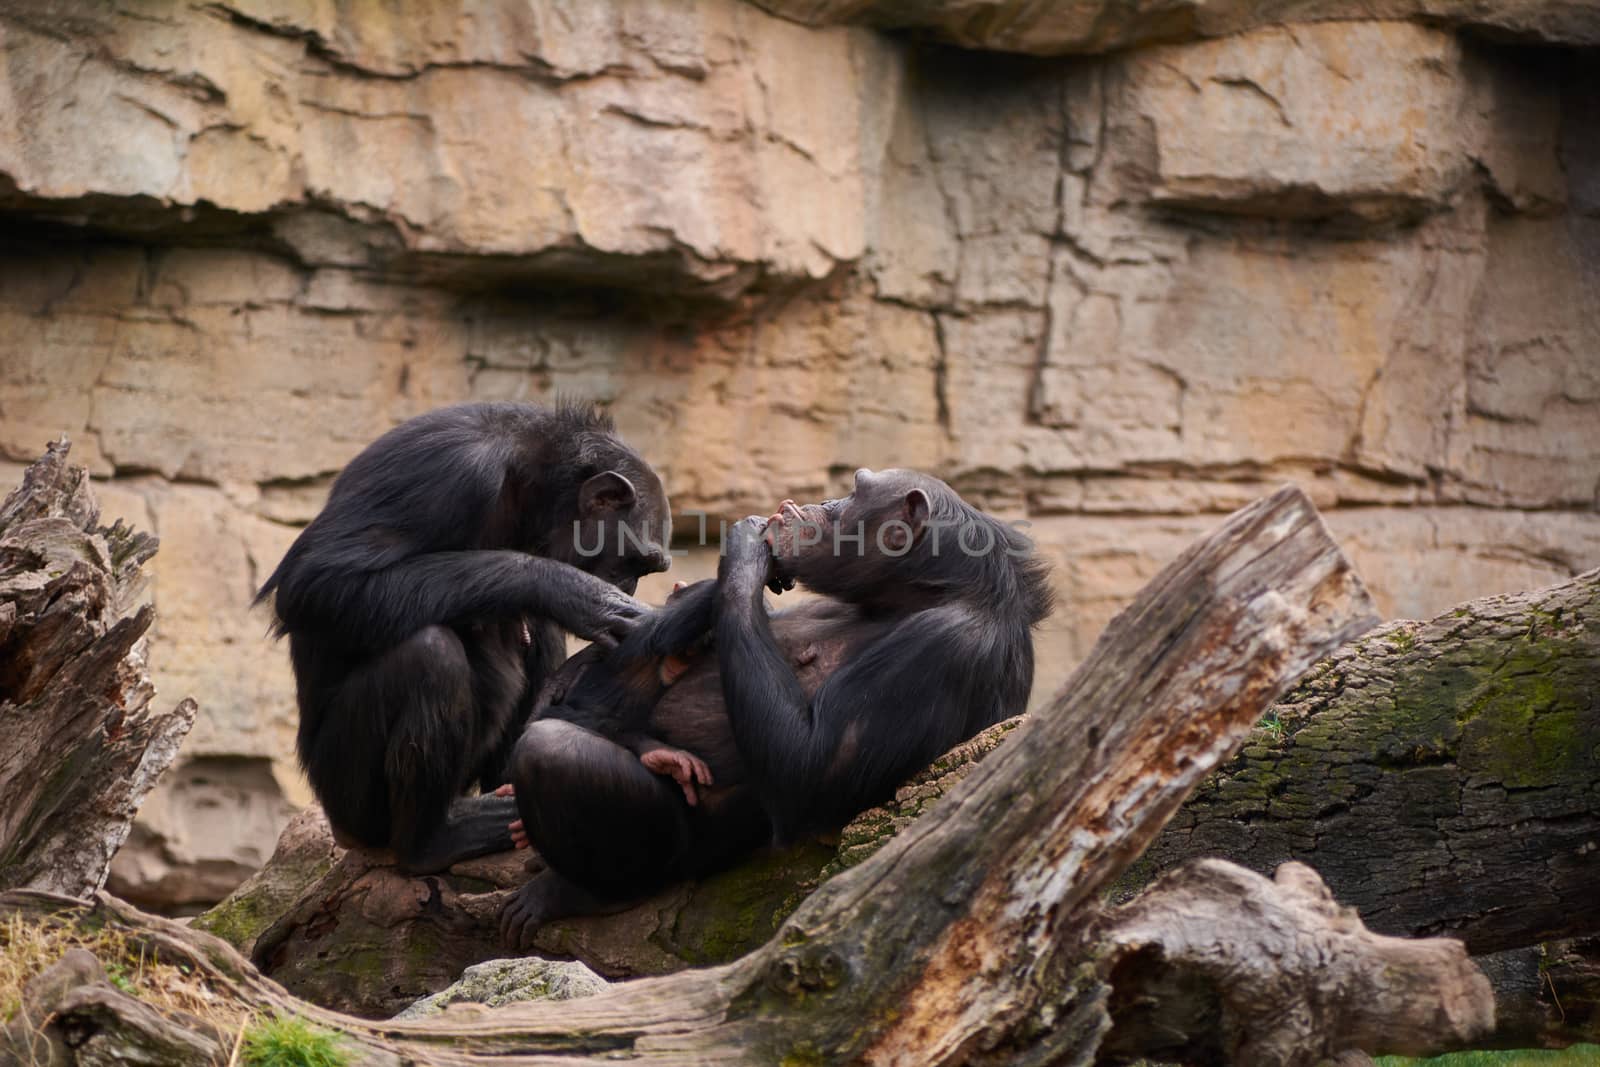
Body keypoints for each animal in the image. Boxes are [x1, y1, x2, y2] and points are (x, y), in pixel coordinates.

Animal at [259, 399, 672, 876]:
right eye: (636, 561)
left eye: (648, 569)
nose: (630, 588)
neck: (529, 486)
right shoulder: (450, 473)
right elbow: (317, 579)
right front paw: (574, 592)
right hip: (349, 799)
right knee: (430, 655)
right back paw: (436, 840)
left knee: (540, 634)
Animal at [499, 463, 1049, 947]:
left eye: (853, 492)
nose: (822, 503)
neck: (918, 596)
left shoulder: (946, 647)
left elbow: (808, 774)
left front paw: (744, 549)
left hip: (689, 854)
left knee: (553, 752)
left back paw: (581, 888)